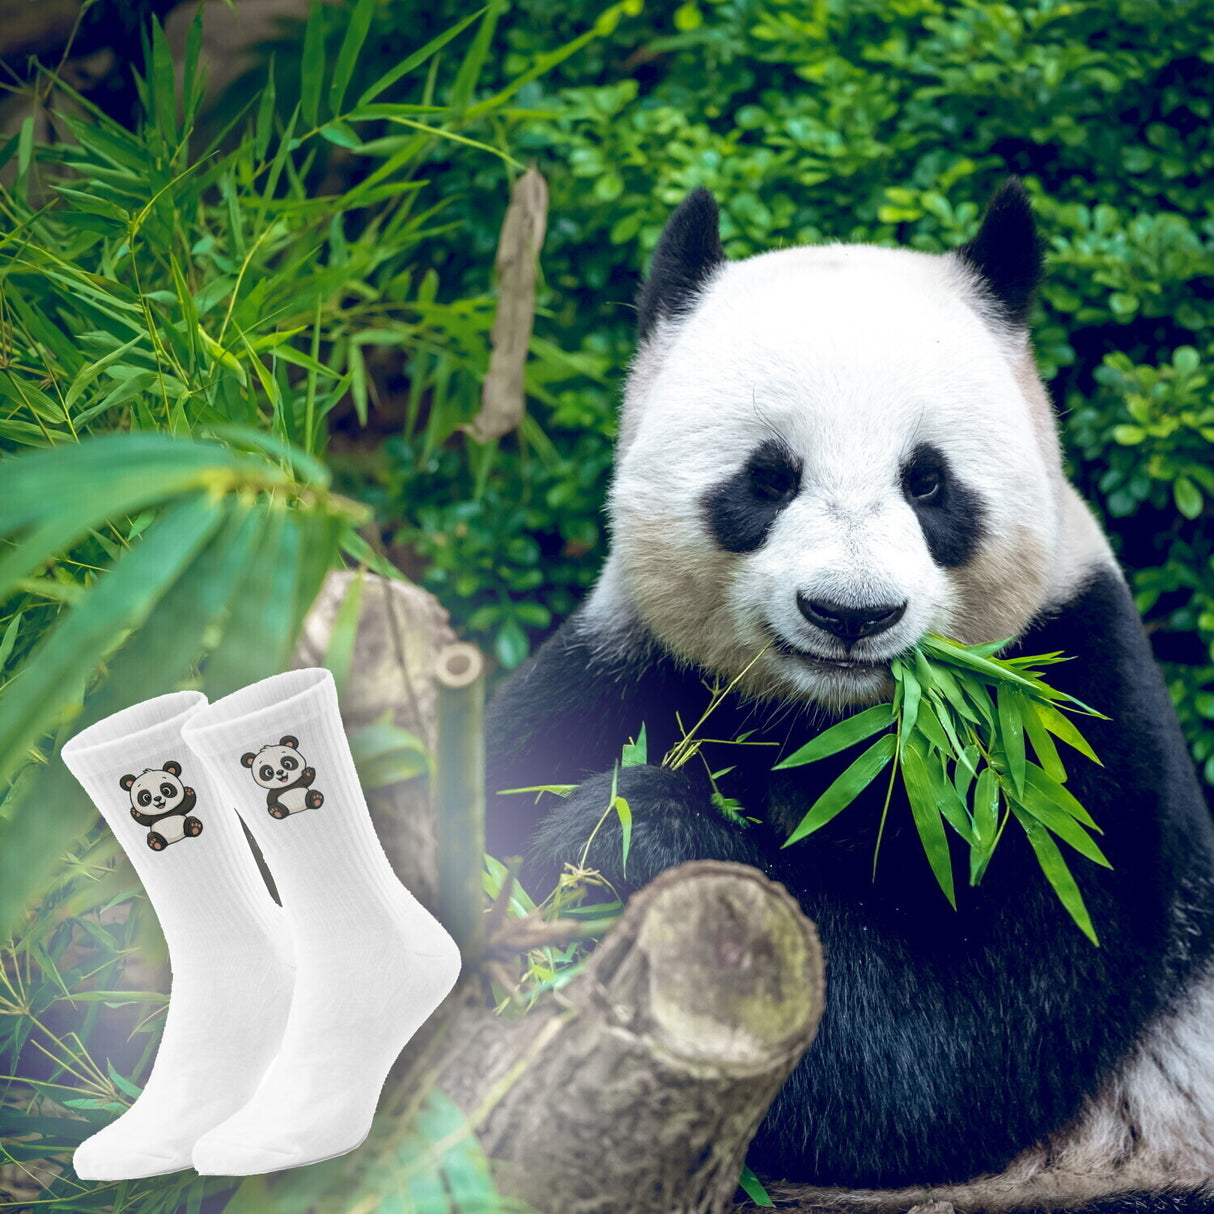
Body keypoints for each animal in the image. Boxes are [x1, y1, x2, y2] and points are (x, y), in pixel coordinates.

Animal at [484, 180, 1214, 1212]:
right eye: (768, 476)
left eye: (929, 481)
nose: (852, 612)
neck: (838, 721)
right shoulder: (627, 666)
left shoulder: (1064, 738)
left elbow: (950, 1049)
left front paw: (626, 838)